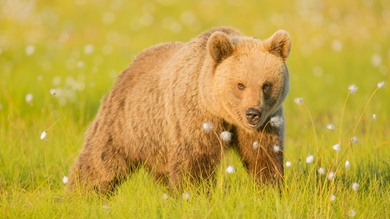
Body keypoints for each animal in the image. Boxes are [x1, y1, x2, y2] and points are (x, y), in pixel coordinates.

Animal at [68, 26, 290, 193]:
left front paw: (270, 189)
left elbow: (263, 155)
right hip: (125, 123)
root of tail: (131, 65)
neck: (220, 111)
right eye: (240, 85)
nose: (252, 113)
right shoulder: (194, 117)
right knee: (100, 162)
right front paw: (195, 195)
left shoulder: (266, 124)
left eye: (266, 85)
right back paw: (79, 195)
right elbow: (194, 162)